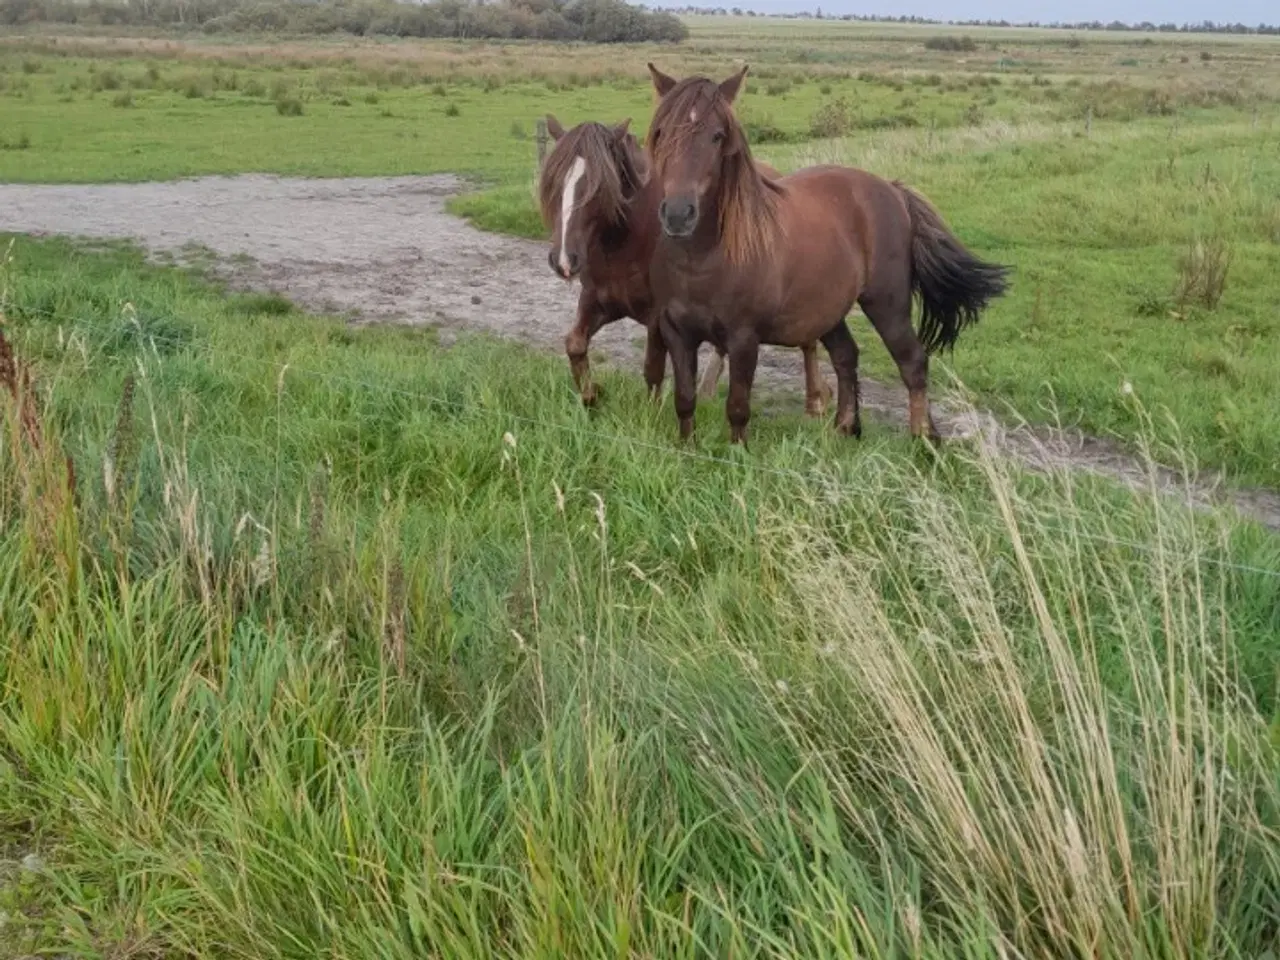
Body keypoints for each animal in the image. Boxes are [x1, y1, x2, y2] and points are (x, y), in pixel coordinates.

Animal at [535, 114, 834, 414]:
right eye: (552, 182)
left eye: (600, 189)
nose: (564, 259)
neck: (629, 240)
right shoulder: (597, 300)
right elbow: (575, 345)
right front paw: (592, 396)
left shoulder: (657, 317)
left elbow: (652, 370)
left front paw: (651, 415)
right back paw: (709, 389)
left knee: (808, 337)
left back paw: (816, 401)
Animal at [645, 64, 1003, 448]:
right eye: (661, 133)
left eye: (717, 136)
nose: (678, 214)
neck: (703, 261)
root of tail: (892, 189)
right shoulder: (677, 333)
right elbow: (684, 400)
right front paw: (688, 448)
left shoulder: (743, 338)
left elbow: (738, 407)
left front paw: (737, 452)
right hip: (828, 309)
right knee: (846, 356)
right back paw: (845, 427)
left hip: (887, 304)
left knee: (912, 362)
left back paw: (923, 438)